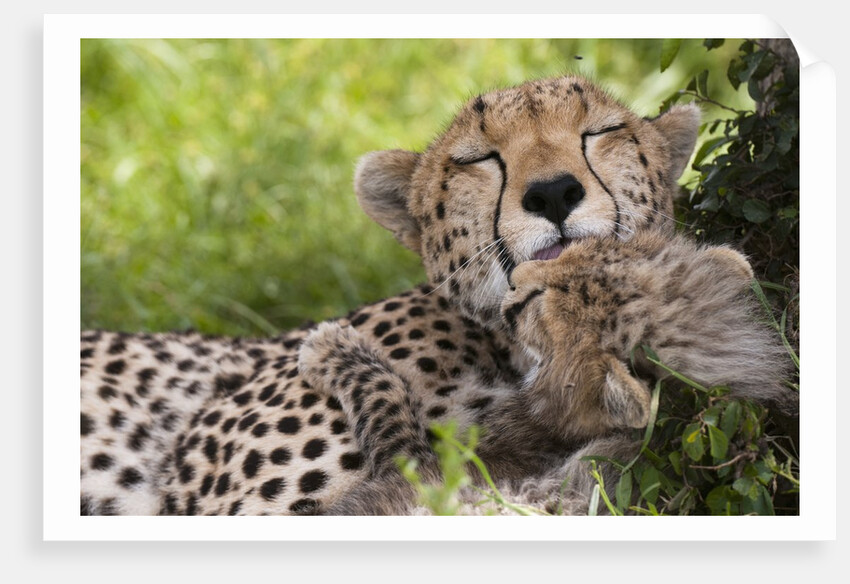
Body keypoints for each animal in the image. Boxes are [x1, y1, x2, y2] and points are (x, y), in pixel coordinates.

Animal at [295, 231, 792, 515]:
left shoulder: (418, 474)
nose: (517, 277)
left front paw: (332, 346)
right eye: (574, 251)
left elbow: (386, 397)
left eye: (537, 303)